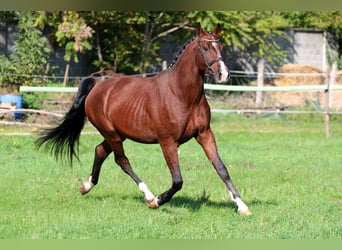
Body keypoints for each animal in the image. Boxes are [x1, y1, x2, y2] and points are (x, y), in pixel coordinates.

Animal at [36, 22, 251, 216]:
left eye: (220, 47)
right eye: (205, 47)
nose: (224, 74)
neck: (182, 94)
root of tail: (97, 86)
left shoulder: (205, 134)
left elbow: (221, 169)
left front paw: (242, 207)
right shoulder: (168, 142)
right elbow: (177, 180)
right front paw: (157, 201)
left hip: (118, 134)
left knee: (100, 151)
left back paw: (86, 186)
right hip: (112, 134)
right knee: (121, 160)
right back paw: (147, 195)